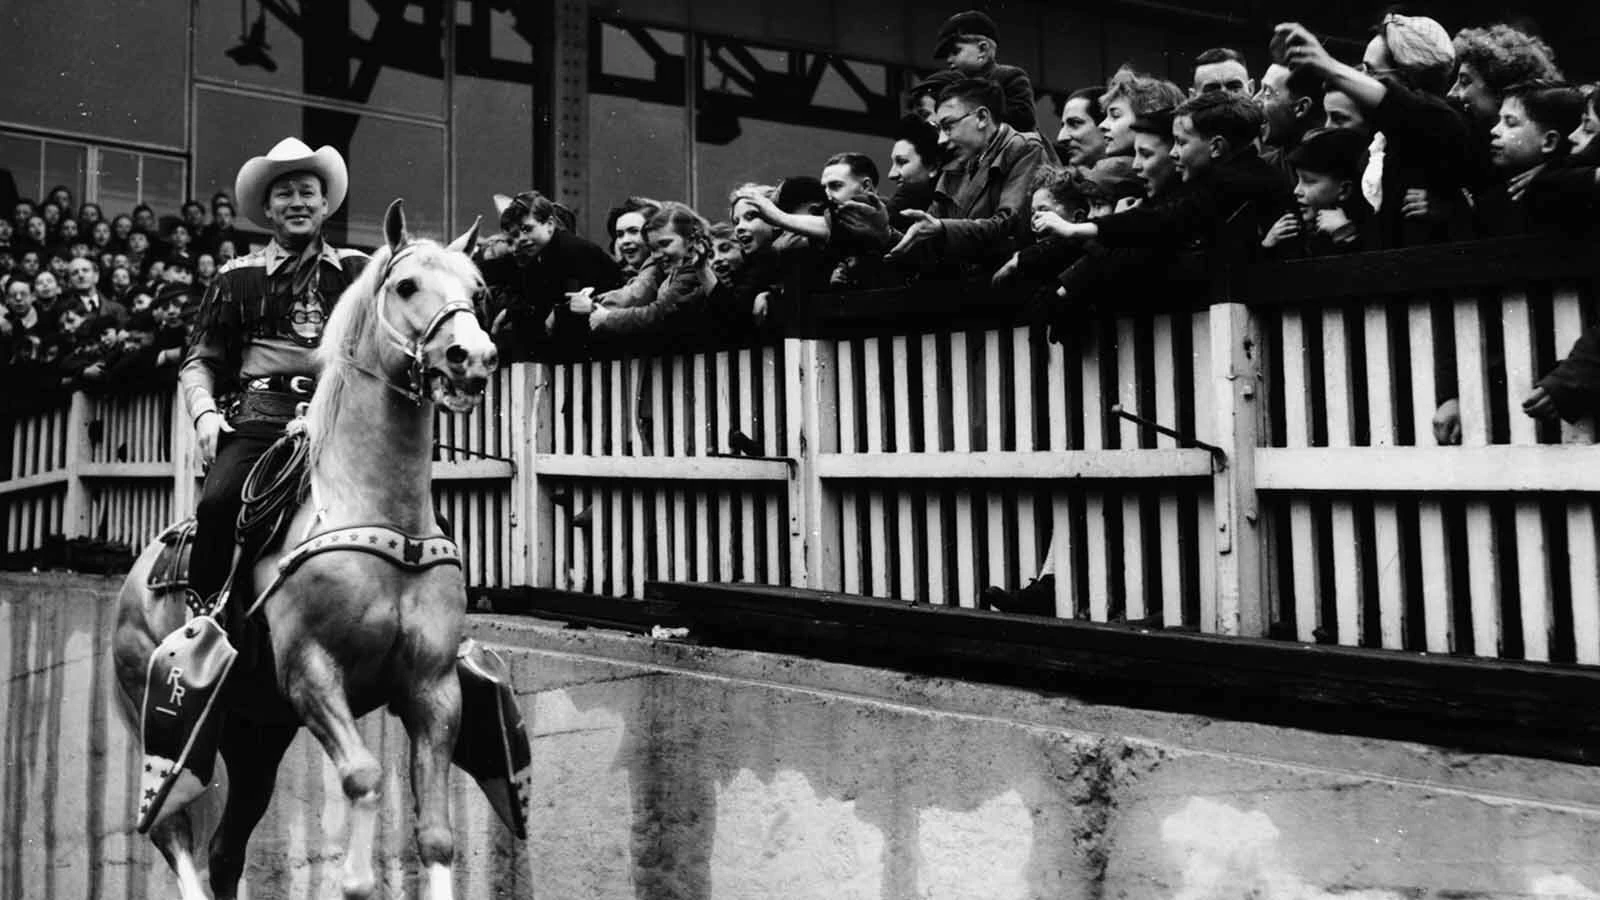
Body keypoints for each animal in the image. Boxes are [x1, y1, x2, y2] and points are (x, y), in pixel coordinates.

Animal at [110, 200, 500, 900]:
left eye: (477, 291)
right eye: (406, 286)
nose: (472, 358)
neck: (375, 509)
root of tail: (135, 577)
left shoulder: (432, 688)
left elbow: (436, 835)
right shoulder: (313, 674)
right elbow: (363, 777)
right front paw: (356, 877)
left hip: (256, 738)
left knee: (225, 849)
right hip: (163, 723)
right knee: (173, 833)